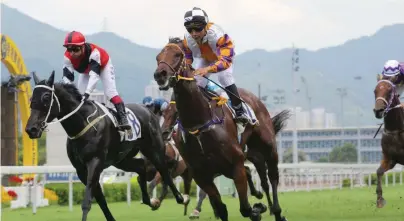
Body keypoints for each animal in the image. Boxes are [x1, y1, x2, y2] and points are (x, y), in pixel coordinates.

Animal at [25, 71, 183, 220]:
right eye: (31, 98)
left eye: (46, 97)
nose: (31, 129)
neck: (84, 123)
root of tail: (148, 110)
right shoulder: (81, 169)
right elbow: (100, 199)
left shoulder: (95, 162)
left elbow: (87, 201)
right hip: (121, 159)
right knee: (140, 165)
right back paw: (149, 200)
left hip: (154, 149)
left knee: (164, 171)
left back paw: (179, 198)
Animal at [153, 37, 288, 221]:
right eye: (158, 57)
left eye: (177, 55)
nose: (160, 74)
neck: (199, 123)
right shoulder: (201, 174)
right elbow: (221, 208)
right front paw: (257, 207)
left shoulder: (235, 164)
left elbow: (245, 208)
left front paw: (258, 209)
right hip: (251, 154)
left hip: (268, 147)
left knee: (273, 177)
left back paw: (277, 211)